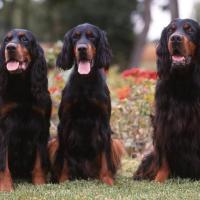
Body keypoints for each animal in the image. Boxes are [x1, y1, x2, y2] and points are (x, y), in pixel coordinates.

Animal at [0, 28, 52, 191]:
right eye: (6, 40)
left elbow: (39, 161)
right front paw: (6, 187)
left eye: (25, 40)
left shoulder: (42, 126)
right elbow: (3, 163)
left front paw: (40, 183)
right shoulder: (3, 128)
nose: (10, 47)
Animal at [48, 23, 125, 184]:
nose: (82, 48)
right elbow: (63, 156)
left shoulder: (104, 123)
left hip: (116, 143)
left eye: (92, 36)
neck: (86, 80)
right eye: (75, 37)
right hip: (52, 142)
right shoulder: (65, 123)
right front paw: (63, 179)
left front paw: (107, 179)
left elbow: (105, 156)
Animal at [134, 18, 200, 183]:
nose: (175, 38)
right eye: (171, 30)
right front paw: (160, 179)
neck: (183, 79)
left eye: (190, 30)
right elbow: (163, 155)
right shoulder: (163, 120)